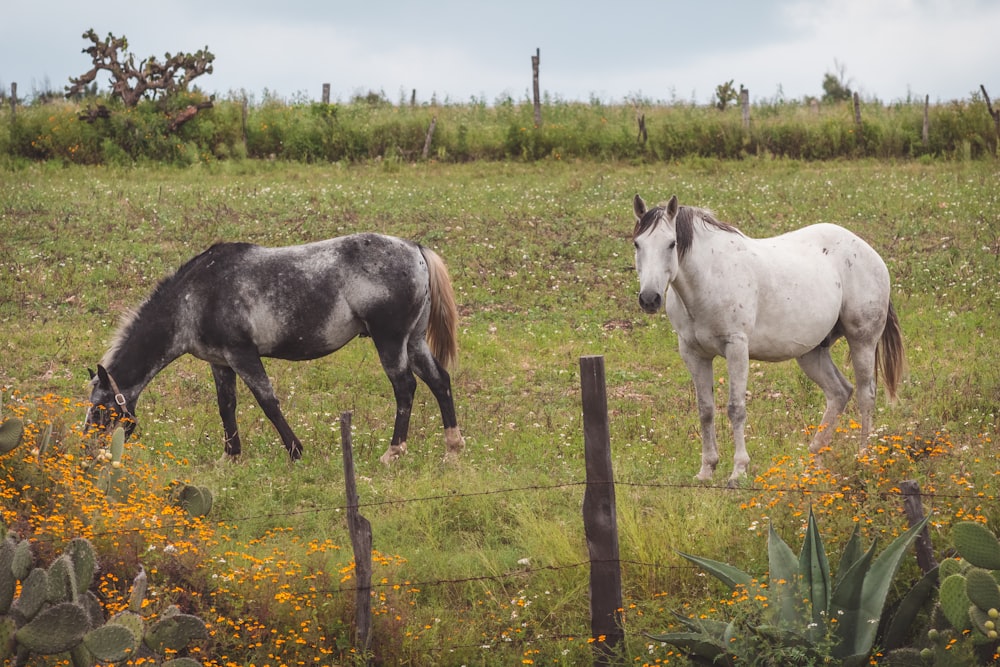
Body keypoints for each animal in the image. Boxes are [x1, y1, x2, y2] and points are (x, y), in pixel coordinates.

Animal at [84, 235, 466, 464]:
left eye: (100, 410)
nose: (89, 453)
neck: (196, 297)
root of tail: (415, 249)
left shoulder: (243, 355)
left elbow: (267, 402)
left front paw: (296, 451)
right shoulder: (221, 363)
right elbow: (227, 407)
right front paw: (230, 456)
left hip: (390, 342)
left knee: (405, 387)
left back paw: (394, 451)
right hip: (413, 341)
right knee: (440, 381)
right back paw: (453, 447)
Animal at [632, 193, 908, 486]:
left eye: (671, 244)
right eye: (637, 243)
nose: (649, 299)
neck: (708, 277)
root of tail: (871, 254)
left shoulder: (736, 347)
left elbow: (735, 408)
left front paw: (738, 471)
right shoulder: (693, 353)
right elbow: (705, 409)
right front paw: (706, 469)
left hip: (862, 342)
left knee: (866, 395)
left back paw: (863, 458)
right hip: (811, 353)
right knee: (840, 392)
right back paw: (813, 461)